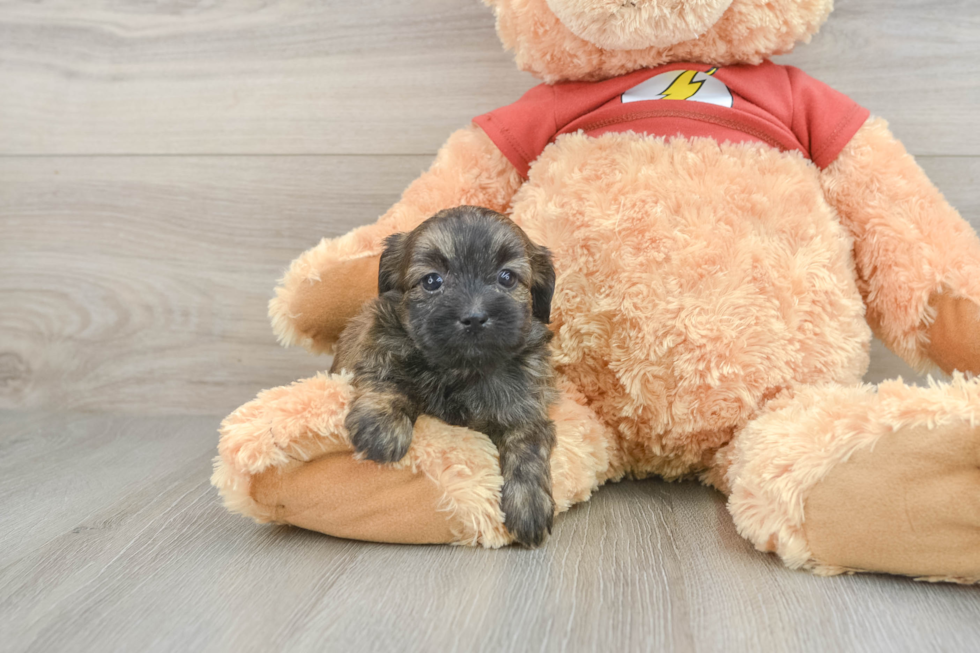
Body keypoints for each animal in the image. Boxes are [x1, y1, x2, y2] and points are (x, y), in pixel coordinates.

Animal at [332, 204, 556, 544]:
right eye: (432, 281)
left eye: (507, 277)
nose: (474, 317)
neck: (460, 369)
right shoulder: (378, 343)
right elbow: (387, 378)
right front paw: (380, 429)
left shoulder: (527, 409)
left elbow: (527, 447)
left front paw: (530, 505)